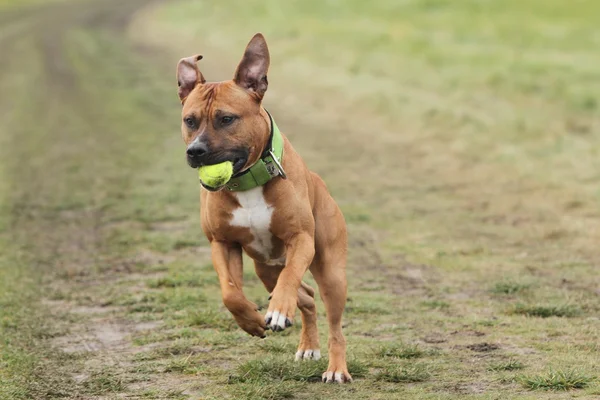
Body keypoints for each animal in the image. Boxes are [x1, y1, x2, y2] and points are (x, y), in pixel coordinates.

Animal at [175, 32, 352, 382]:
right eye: (190, 120)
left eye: (226, 119)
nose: (195, 151)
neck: (248, 182)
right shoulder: (222, 243)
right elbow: (230, 292)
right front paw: (252, 320)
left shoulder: (301, 240)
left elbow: (290, 279)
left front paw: (279, 311)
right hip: (266, 268)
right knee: (307, 297)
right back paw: (306, 345)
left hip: (331, 272)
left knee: (332, 321)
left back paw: (336, 368)